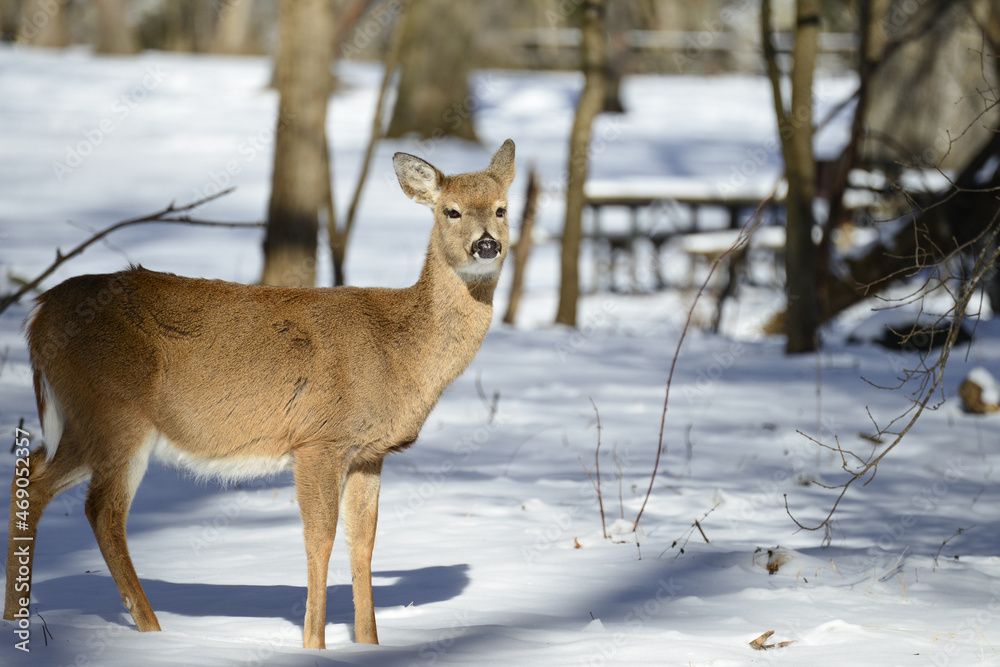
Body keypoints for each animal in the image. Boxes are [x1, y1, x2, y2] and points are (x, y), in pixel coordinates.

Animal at [3, 139, 515, 649]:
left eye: (502, 208)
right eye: (451, 211)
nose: (486, 244)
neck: (399, 350)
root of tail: (38, 313)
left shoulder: (369, 452)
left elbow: (364, 543)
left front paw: (368, 645)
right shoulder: (318, 439)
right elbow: (320, 538)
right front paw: (314, 646)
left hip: (82, 417)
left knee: (32, 473)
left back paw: (15, 619)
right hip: (116, 411)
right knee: (102, 510)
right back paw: (152, 631)